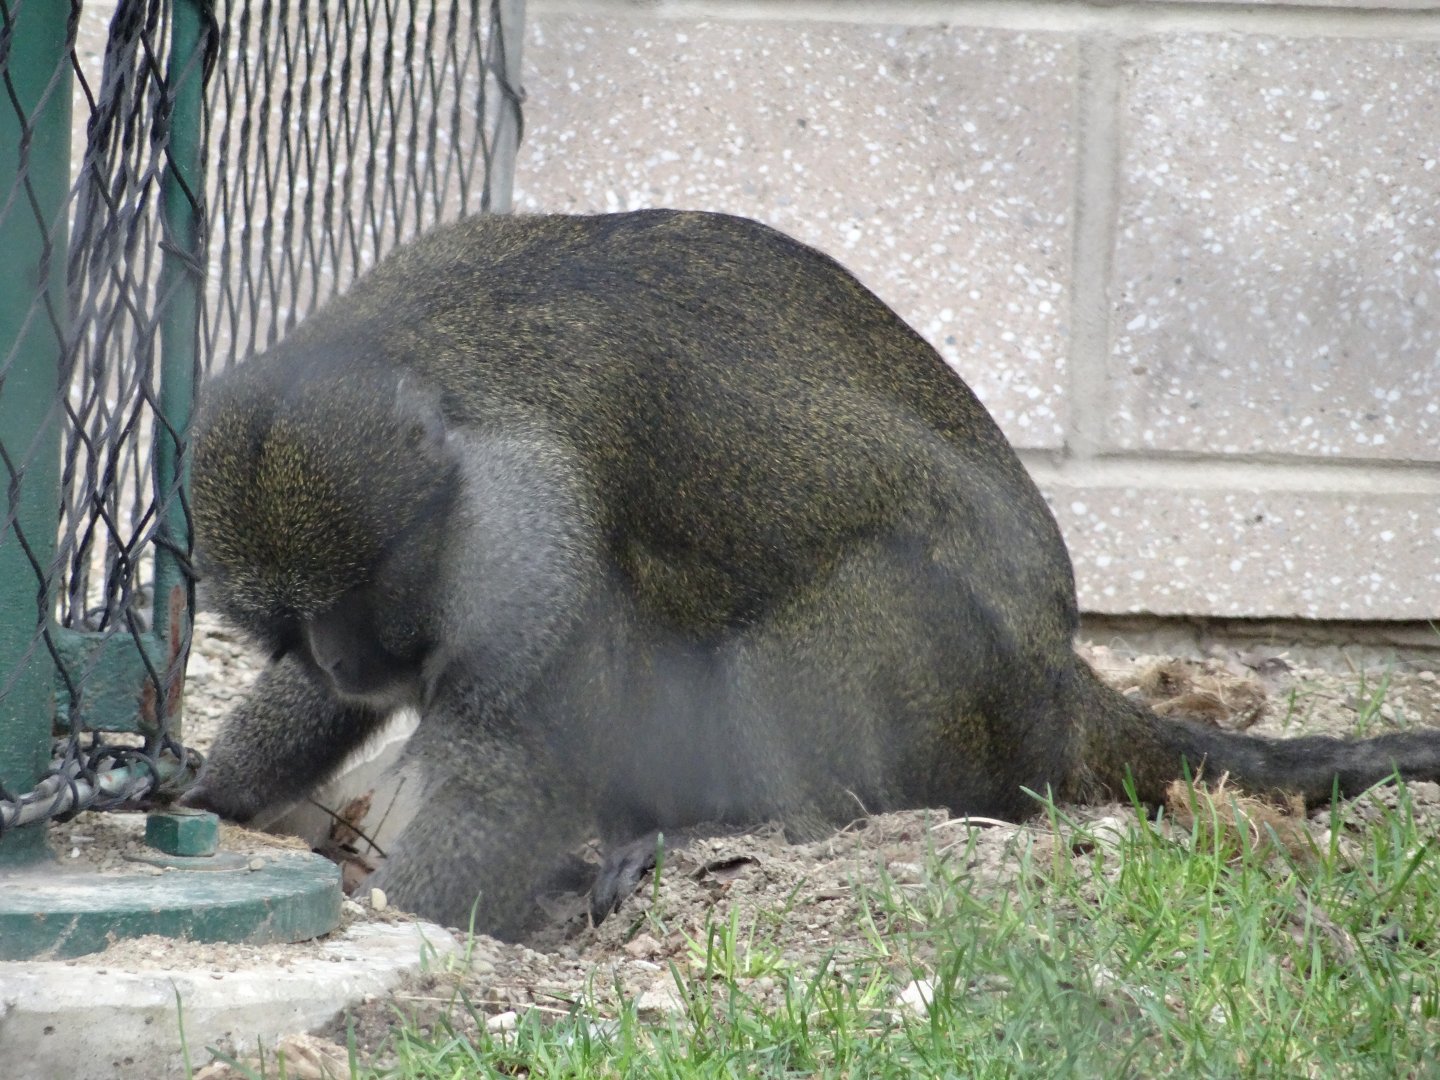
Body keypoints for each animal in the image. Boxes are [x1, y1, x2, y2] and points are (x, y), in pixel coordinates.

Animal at [182, 209, 1440, 938]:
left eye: (360, 607)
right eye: (293, 631)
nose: (347, 663)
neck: (412, 354)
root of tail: (1058, 680)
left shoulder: (525, 522)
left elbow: (518, 766)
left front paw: (400, 922)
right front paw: (210, 789)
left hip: (959, 694)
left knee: (823, 596)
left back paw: (768, 827)